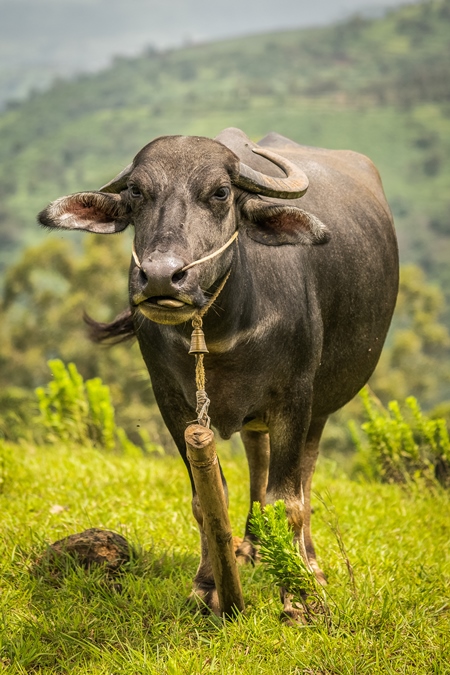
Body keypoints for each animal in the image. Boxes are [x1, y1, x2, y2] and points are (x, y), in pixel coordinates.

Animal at [37, 128, 398, 624]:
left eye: (220, 192)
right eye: (137, 192)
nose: (161, 277)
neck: (227, 326)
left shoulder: (295, 397)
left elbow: (288, 501)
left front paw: (299, 597)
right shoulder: (173, 403)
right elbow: (208, 500)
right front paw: (209, 585)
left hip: (320, 406)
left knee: (303, 478)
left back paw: (308, 563)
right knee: (257, 456)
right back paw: (253, 546)